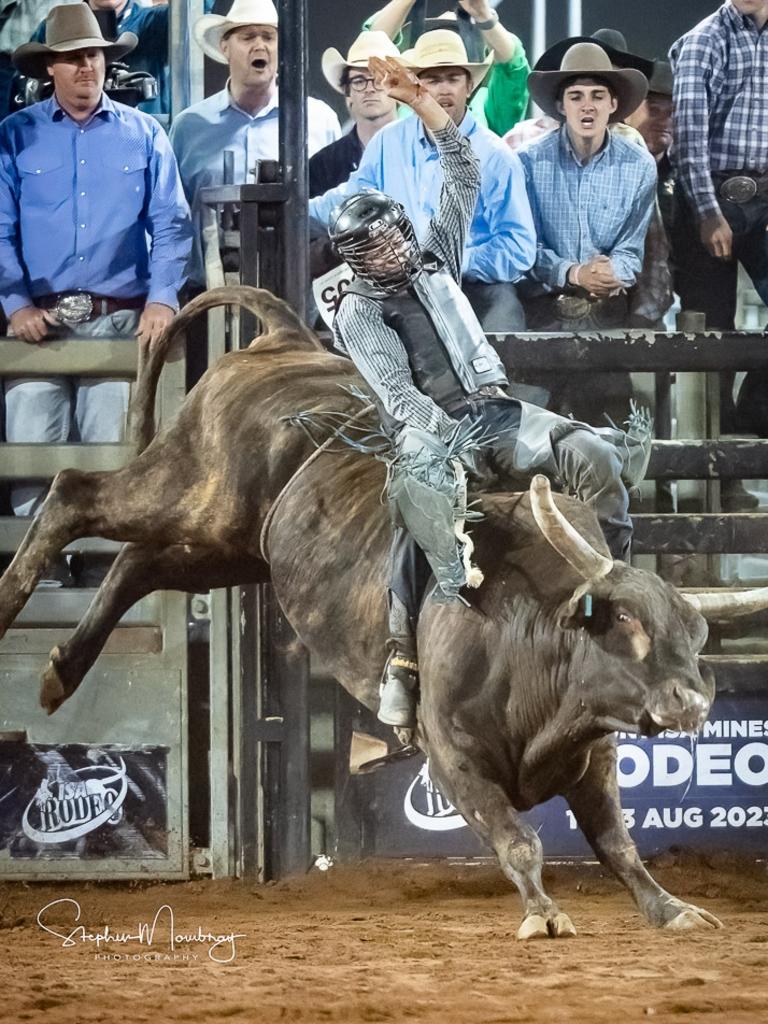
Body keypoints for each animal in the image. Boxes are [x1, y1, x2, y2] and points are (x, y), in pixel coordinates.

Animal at [4, 286, 765, 937]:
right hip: (191, 492)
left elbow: (618, 844)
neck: (534, 637)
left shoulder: (592, 753)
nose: (692, 702)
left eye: (698, 634)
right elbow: (518, 840)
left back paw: (60, 672)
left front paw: (671, 909)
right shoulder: (453, 756)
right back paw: (15, 603)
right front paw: (544, 914)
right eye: (625, 621)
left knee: (139, 563)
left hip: (233, 548)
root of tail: (284, 339)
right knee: (75, 492)